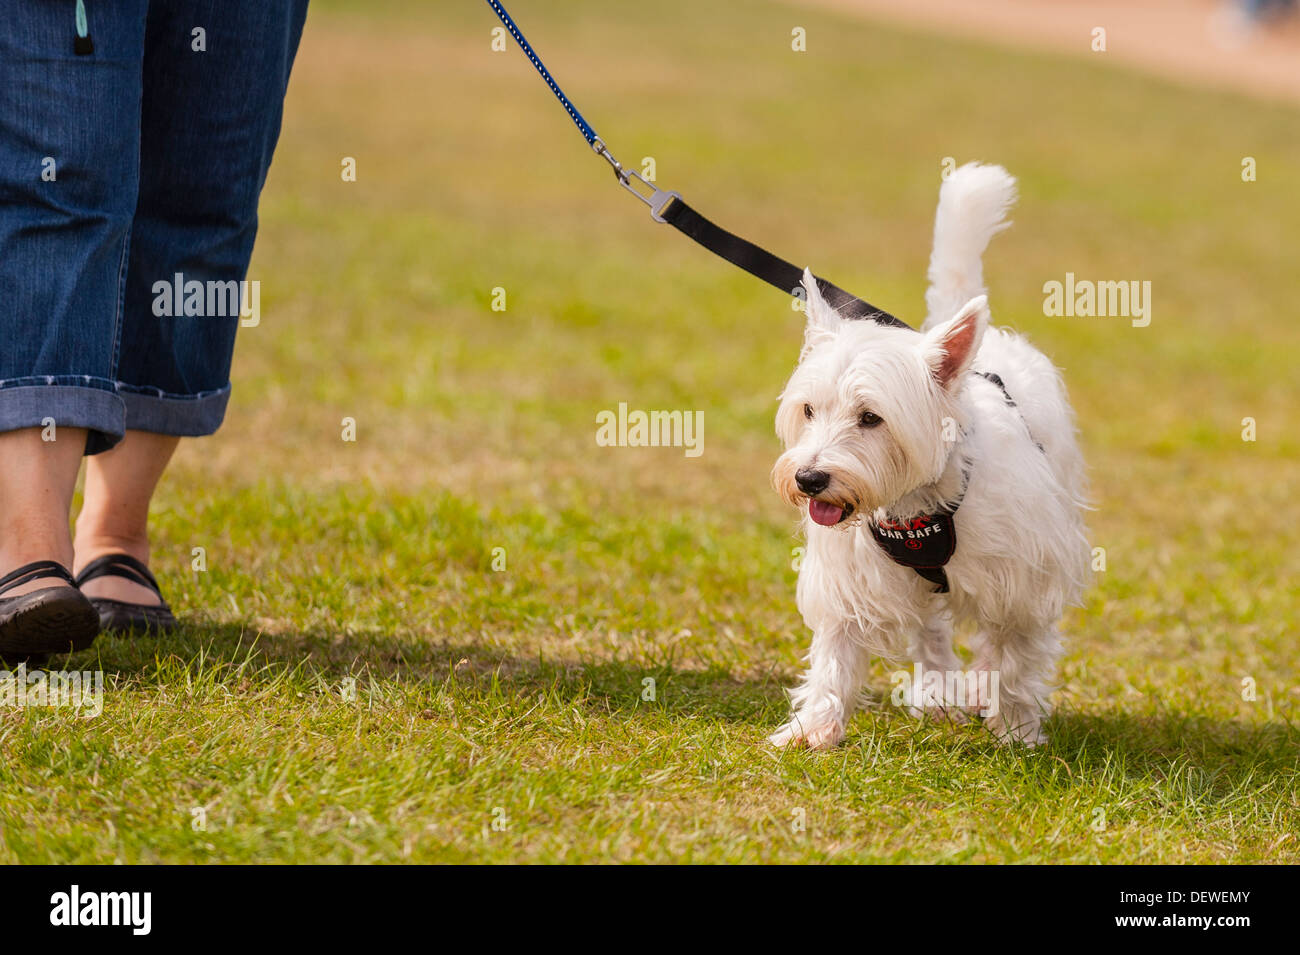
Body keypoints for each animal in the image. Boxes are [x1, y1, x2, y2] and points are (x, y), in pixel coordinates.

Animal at [764, 162, 1092, 748]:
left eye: (871, 418)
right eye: (809, 409)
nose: (809, 479)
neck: (919, 504)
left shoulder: (1024, 583)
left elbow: (1015, 660)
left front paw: (1017, 731)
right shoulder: (852, 580)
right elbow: (834, 660)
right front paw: (811, 730)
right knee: (932, 633)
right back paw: (939, 696)